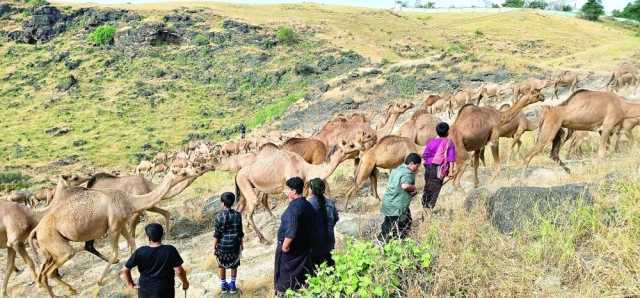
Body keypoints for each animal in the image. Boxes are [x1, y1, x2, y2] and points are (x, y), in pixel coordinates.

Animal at [28, 166, 200, 296]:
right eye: (182, 172)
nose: (197, 170)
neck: (130, 200)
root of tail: (36, 230)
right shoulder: (114, 226)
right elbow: (115, 253)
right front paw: (100, 281)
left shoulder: (121, 223)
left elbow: (132, 243)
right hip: (57, 244)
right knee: (53, 269)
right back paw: (64, 291)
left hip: (49, 248)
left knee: (46, 272)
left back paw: (65, 289)